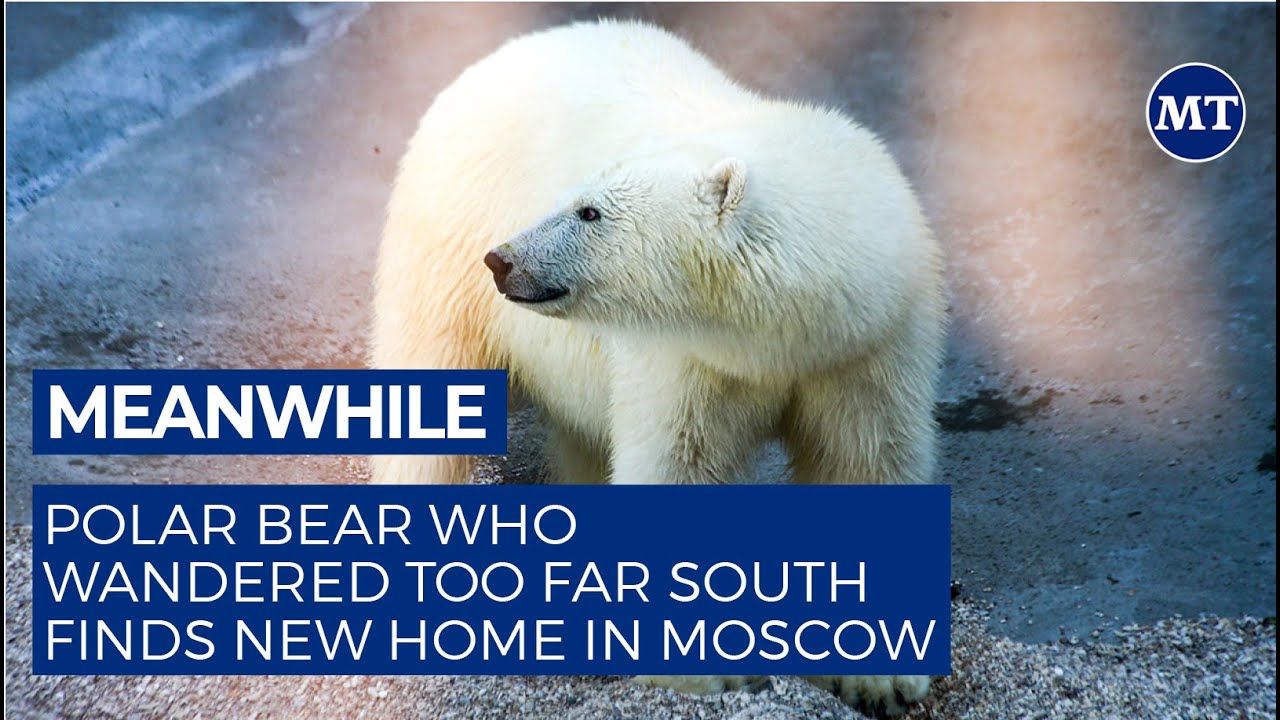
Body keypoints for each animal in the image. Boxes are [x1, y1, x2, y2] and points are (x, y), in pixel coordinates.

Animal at [372, 20, 944, 716]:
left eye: (589, 211)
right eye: (572, 199)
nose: (503, 260)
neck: (794, 333)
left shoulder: (871, 349)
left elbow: (863, 462)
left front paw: (880, 679)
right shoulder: (684, 356)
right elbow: (678, 466)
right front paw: (704, 676)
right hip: (444, 253)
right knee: (426, 385)